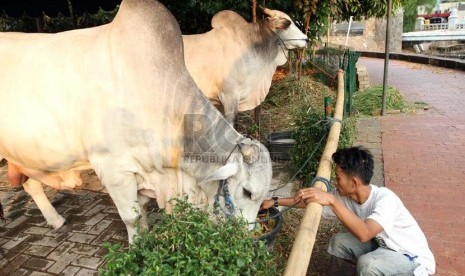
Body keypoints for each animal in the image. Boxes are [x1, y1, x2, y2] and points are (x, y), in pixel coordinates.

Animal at [0, 0, 272, 242]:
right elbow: (131, 217)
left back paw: (55, 220)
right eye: (247, 191)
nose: (246, 238)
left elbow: (141, 212)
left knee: (31, 186)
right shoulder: (113, 169)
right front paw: (137, 247)